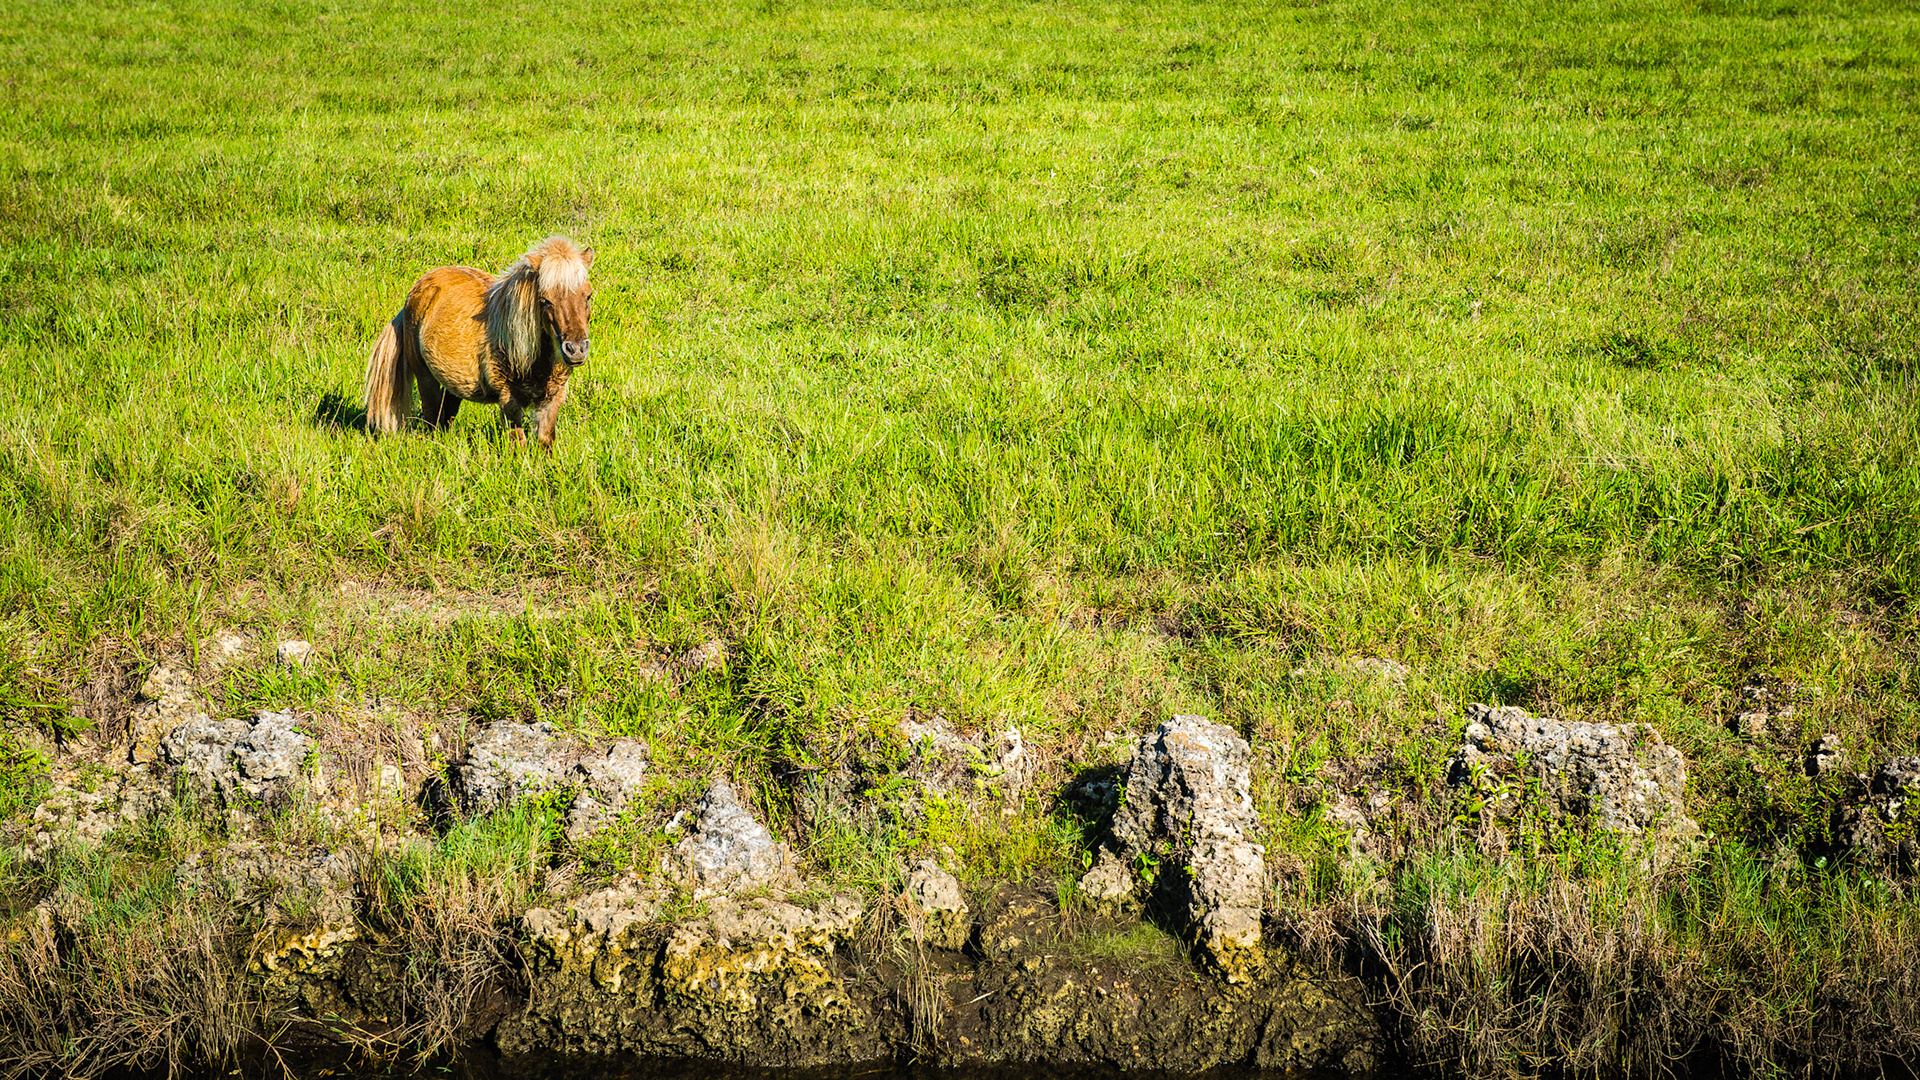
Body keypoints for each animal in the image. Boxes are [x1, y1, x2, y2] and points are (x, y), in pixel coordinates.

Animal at [362, 235, 595, 449]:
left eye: (588, 296)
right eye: (545, 300)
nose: (576, 349)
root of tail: (419, 289)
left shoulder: (551, 401)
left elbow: (545, 443)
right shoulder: (509, 401)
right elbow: (518, 444)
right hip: (425, 377)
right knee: (432, 419)